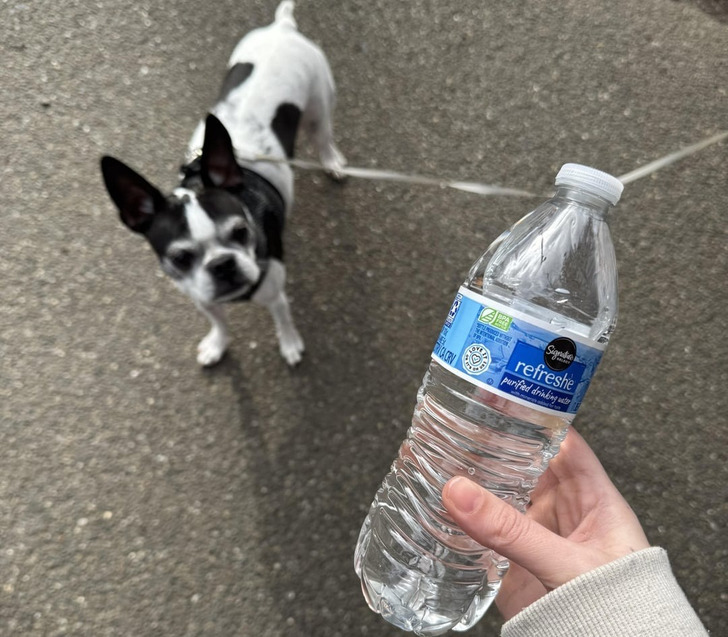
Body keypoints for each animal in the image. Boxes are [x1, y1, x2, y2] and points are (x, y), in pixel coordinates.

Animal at [100, 1, 346, 366]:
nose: (222, 264)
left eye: (242, 232)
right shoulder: (204, 300)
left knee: (324, 136)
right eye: (180, 258)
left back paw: (332, 161)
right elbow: (220, 323)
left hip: (319, 106)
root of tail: (283, 28)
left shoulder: (274, 293)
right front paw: (217, 345)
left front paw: (290, 344)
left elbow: (283, 318)